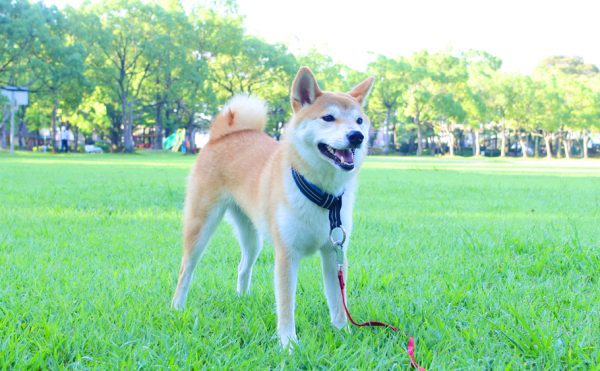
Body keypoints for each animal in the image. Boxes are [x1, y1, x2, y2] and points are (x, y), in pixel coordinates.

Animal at [171, 67, 372, 348]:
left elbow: (338, 302)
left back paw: (242, 300)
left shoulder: (334, 251)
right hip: (200, 225)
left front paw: (343, 334)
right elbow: (286, 304)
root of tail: (224, 134)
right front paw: (288, 344)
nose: (356, 136)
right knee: (186, 269)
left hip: (252, 236)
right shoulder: (287, 254)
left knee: (243, 266)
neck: (323, 195)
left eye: (359, 120)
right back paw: (177, 307)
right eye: (328, 118)